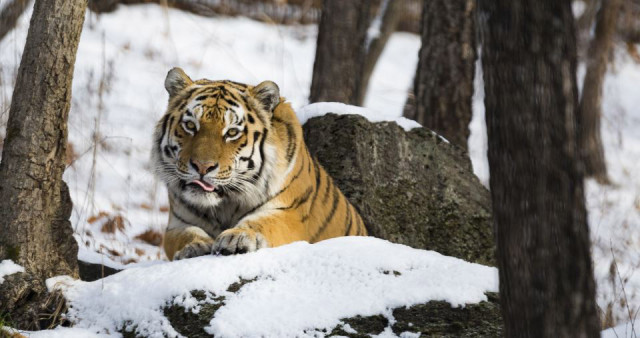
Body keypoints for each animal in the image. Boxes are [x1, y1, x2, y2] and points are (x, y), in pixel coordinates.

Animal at [151, 67, 364, 260]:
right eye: (190, 125)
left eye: (232, 132)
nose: (203, 167)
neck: (224, 204)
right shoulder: (177, 224)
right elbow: (186, 234)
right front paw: (196, 245)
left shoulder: (288, 212)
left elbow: (262, 222)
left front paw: (239, 237)